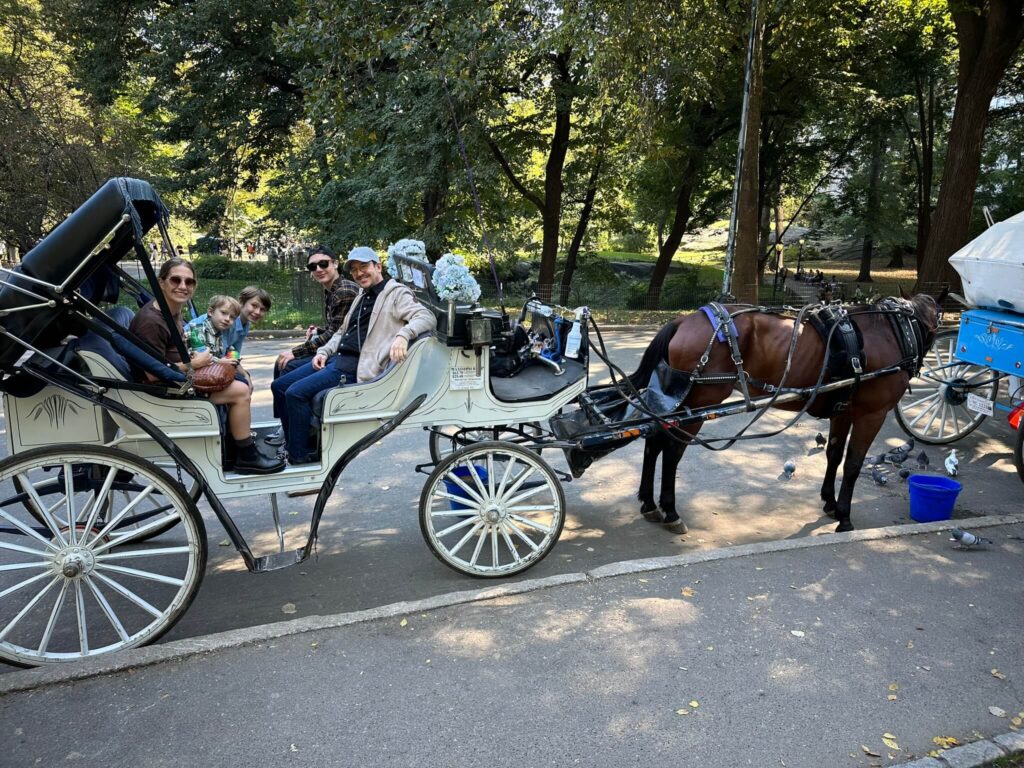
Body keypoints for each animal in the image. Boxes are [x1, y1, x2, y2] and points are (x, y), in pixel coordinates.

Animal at [630, 294, 942, 536]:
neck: (896, 330)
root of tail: (683, 321)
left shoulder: (843, 411)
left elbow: (834, 455)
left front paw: (829, 502)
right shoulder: (871, 415)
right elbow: (853, 464)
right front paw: (844, 516)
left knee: (654, 442)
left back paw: (649, 503)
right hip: (698, 404)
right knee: (672, 450)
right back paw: (670, 510)